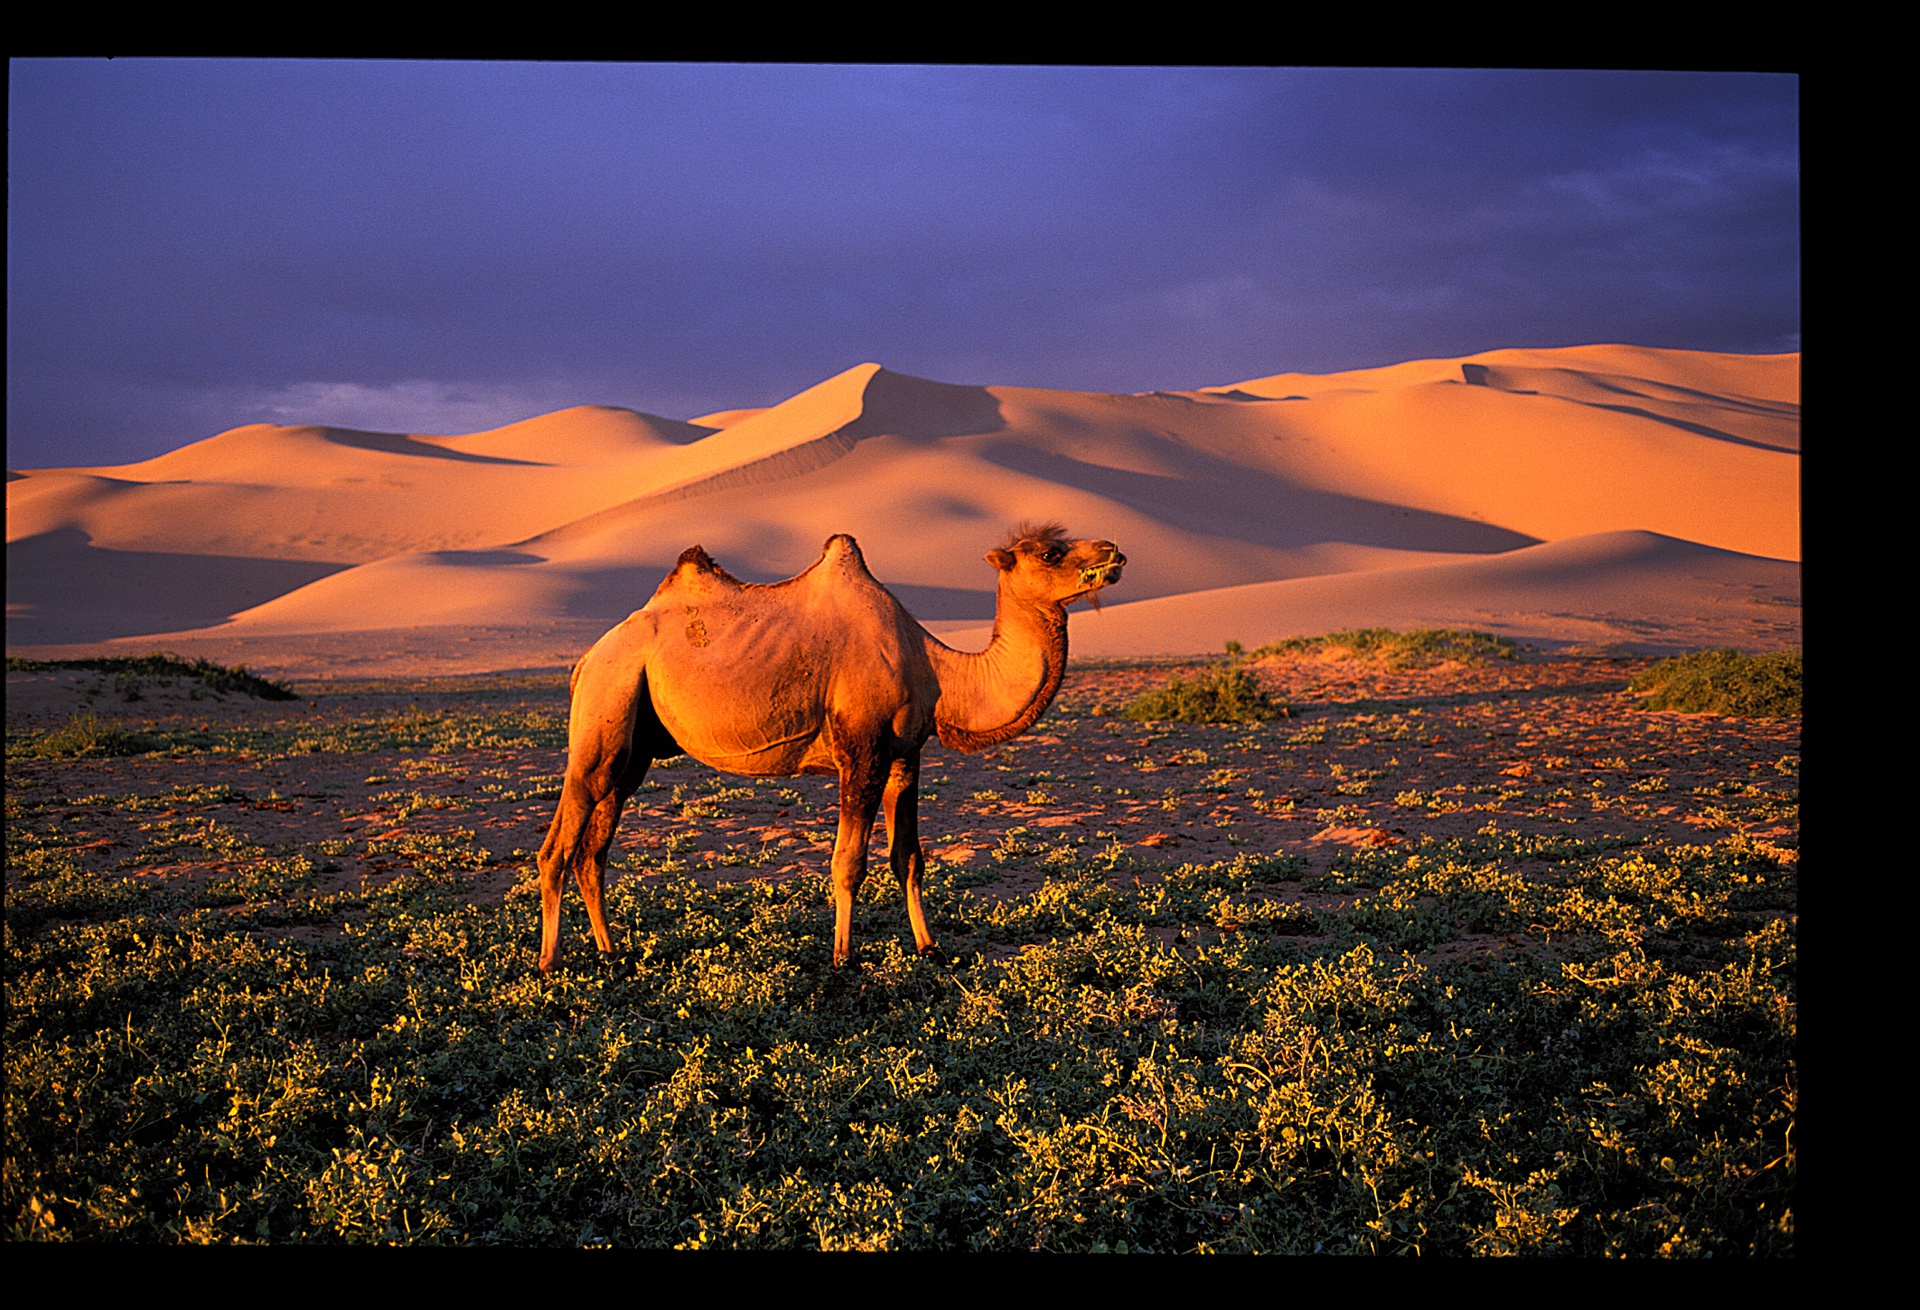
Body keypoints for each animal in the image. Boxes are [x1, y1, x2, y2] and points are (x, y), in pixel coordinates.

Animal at [533, 522, 1121, 968]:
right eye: (1049, 552)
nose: (1113, 551)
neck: (935, 668)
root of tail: (585, 660)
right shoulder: (860, 749)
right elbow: (849, 861)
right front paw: (842, 958)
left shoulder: (905, 754)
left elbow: (909, 857)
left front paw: (929, 947)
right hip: (605, 706)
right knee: (558, 845)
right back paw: (550, 962)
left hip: (632, 749)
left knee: (593, 851)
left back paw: (612, 954)